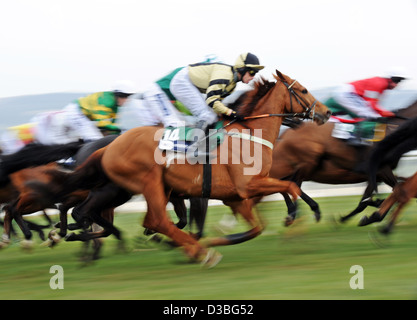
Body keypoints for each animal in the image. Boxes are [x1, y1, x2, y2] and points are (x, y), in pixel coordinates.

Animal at [27, 70, 330, 268]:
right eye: (303, 90)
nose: (325, 113)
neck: (247, 134)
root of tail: (108, 146)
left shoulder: (236, 197)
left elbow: (257, 226)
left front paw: (215, 240)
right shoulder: (246, 186)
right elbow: (289, 186)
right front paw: (299, 216)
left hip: (136, 189)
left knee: (111, 215)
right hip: (146, 183)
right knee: (154, 220)